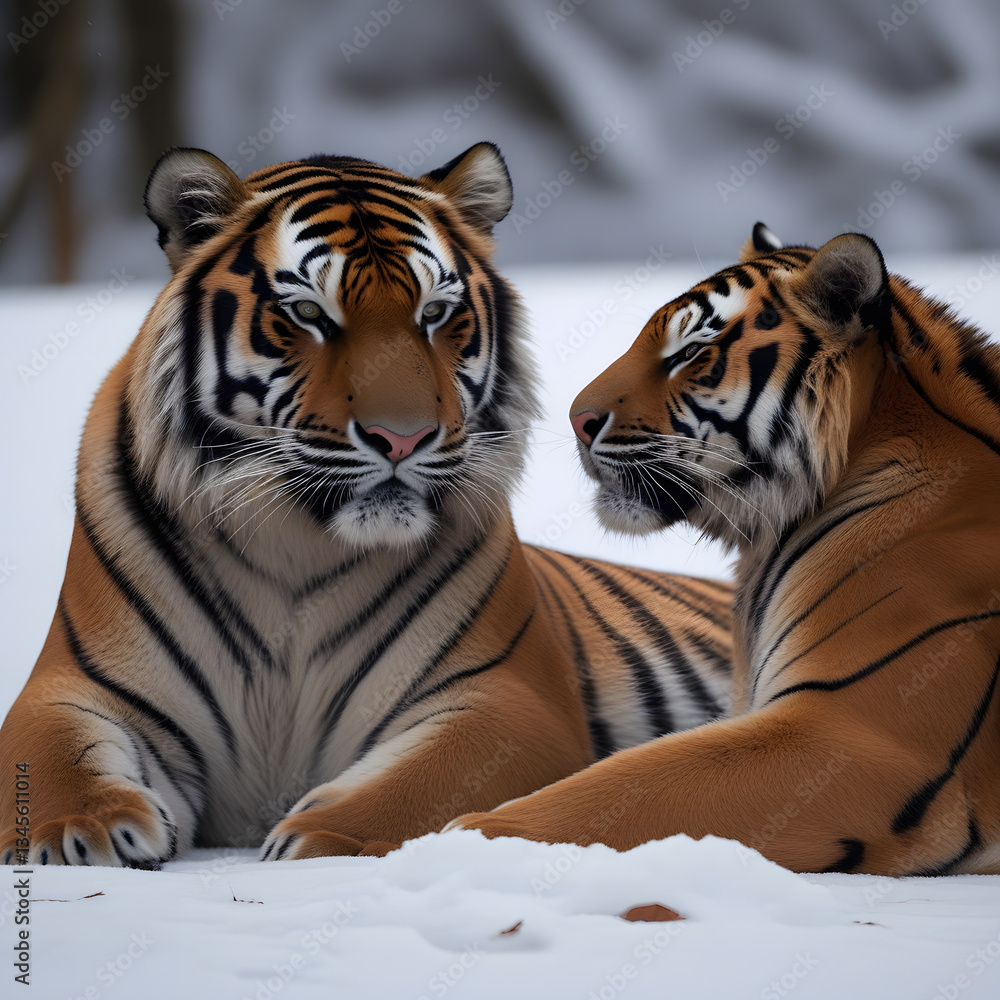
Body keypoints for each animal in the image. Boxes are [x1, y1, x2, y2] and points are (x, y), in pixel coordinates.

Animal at [0, 143, 733, 867]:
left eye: (434, 314)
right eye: (308, 315)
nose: (402, 438)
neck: (297, 541)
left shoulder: (507, 698)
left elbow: (417, 784)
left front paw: (326, 835)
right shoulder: (70, 685)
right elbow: (50, 754)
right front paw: (80, 828)